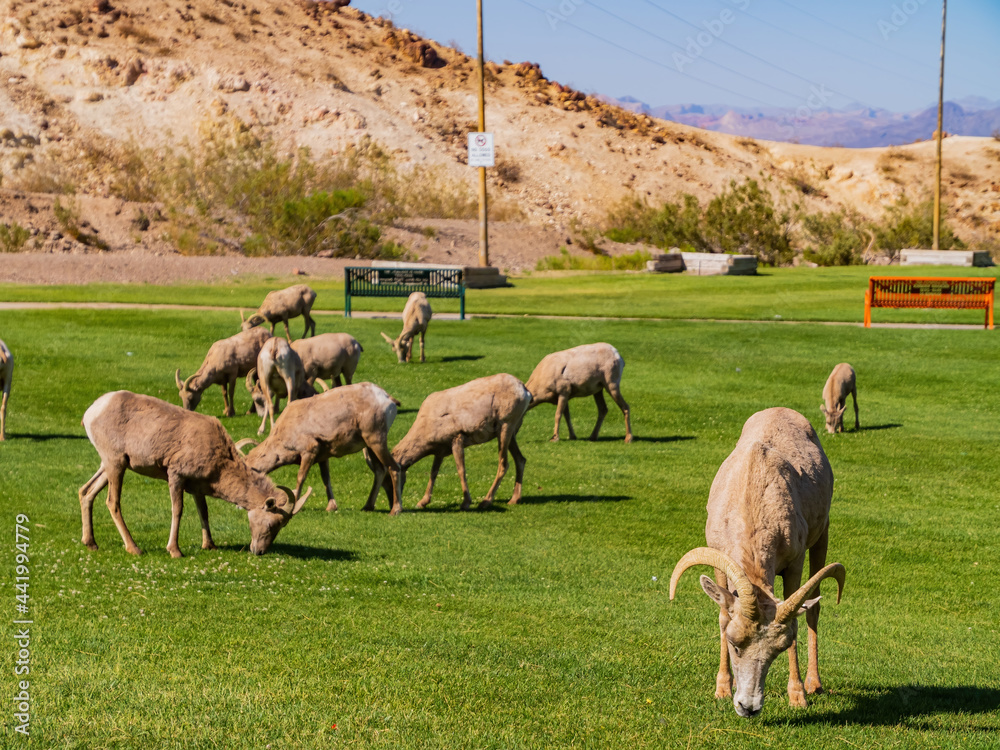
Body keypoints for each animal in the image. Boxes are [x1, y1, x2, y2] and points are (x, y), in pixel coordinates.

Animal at [79, 391, 310, 557]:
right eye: (272, 523)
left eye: (281, 525)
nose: (259, 551)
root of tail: (92, 411)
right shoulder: (175, 475)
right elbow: (178, 510)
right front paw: (175, 550)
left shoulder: (197, 488)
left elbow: (204, 511)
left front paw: (209, 545)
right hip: (116, 463)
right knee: (112, 502)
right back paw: (134, 548)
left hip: (109, 465)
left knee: (86, 491)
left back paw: (91, 543)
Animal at [237, 382, 403, 515]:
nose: (238, 507)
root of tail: (387, 399)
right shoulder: (323, 457)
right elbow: (326, 479)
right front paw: (331, 507)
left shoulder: (309, 451)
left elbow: (301, 478)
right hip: (369, 445)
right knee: (380, 470)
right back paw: (367, 506)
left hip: (376, 441)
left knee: (394, 467)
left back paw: (395, 510)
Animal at [389, 373, 531, 510]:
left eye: (390, 475)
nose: (393, 502)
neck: (426, 426)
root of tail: (525, 391)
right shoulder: (440, 451)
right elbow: (433, 473)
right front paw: (422, 502)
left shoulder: (457, 438)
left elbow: (461, 470)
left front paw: (466, 503)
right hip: (510, 431)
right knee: (520, 459)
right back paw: (514, 499)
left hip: (505, 426)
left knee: (504, 464)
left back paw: (485, 502)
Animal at [669, 407, 845, 718]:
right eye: (734, 643)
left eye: (777, 650)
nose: (748, 707)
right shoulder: (720, 560)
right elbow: (722, 614)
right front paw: (722, 690)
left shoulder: (795, 563)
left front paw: (797, 697)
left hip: (822, 534)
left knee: (814, 608)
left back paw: (814, 683)